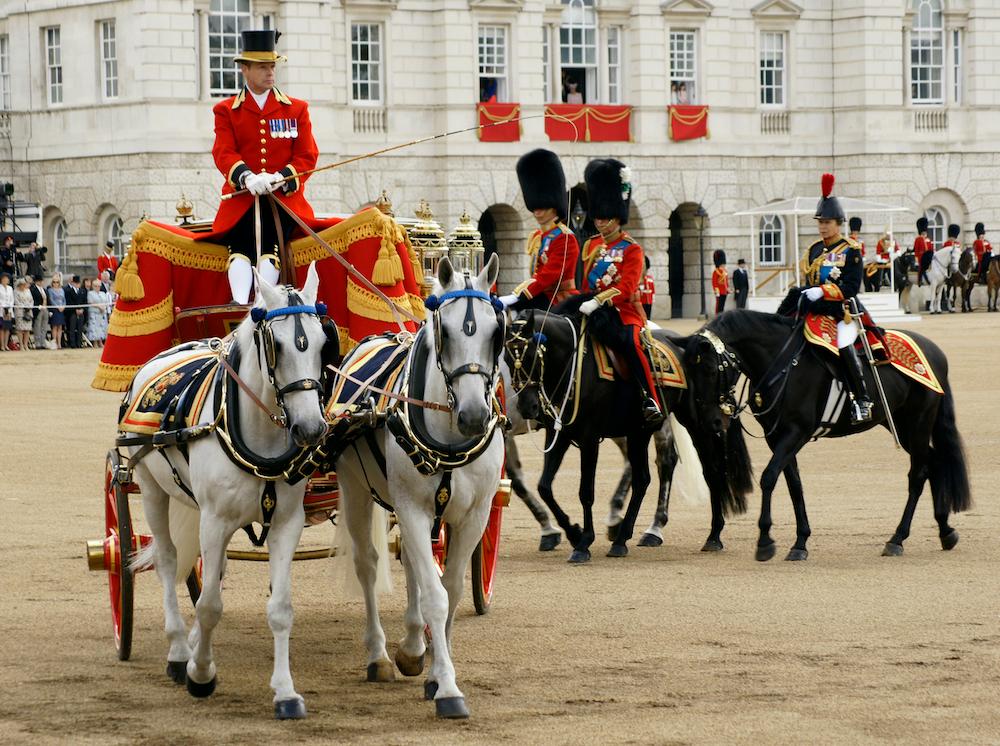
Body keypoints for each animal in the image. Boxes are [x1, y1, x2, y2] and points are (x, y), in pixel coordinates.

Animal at [127, 266, 332, 716]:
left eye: (323, 340)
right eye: (276, 346)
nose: (311, 429)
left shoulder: (286, 523)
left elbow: (279, 608)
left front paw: (285, 692)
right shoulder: (214, 520)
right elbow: (209, 607)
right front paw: (201, 674)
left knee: (209, 570)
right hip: (151, 489)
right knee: (168, 561)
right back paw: (178, 652)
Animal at [336, 254, 504, 716]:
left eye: (496, 332)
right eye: (445, 332)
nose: (473, 417)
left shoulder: (474, 514)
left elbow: (451, 588)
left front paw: (433, 671)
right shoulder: (411, 506)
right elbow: (434, 595)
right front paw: (447, 688)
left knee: (413, 561)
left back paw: (412, 647)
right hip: (355, 490)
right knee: (368, 564)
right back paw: (378, 656)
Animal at [508, 306, 752, 560]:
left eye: (530, 356)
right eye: (507, 357)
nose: (527, 407)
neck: (574, 365)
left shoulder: (588, 438)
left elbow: (586, 492)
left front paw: (583, 542)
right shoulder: (559, 435)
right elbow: (544, 487)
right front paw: (573, 532)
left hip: (698, 423)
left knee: (709, 471)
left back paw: (711, 535)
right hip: (639, 431)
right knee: (643, 478)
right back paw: (623, 537)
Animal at [684, 306, 972, 560]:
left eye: (710, 369)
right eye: (690, 374)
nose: (712, 422)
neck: (782, 363)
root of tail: (934, 350)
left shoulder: (796, 432)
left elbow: (769, 477)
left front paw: (765, 541)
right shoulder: (776, 438)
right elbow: (794, 484)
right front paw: (800, 542)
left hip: (919, 422)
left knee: (918, 473)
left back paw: (897, 538)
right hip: (900, 425)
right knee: (933, 462)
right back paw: (945, 531)